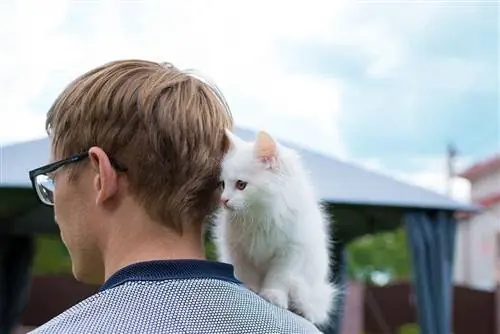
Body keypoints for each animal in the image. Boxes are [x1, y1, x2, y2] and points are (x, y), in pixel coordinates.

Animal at [212, 129, 336, 326]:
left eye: (241, 185)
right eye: (223, 185)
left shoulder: (291, 252)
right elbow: (247, 274)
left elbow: (278, 277)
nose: (223, 200)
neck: (261, 215)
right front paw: (251, 289)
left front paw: (273, 295)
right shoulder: (238, 250)